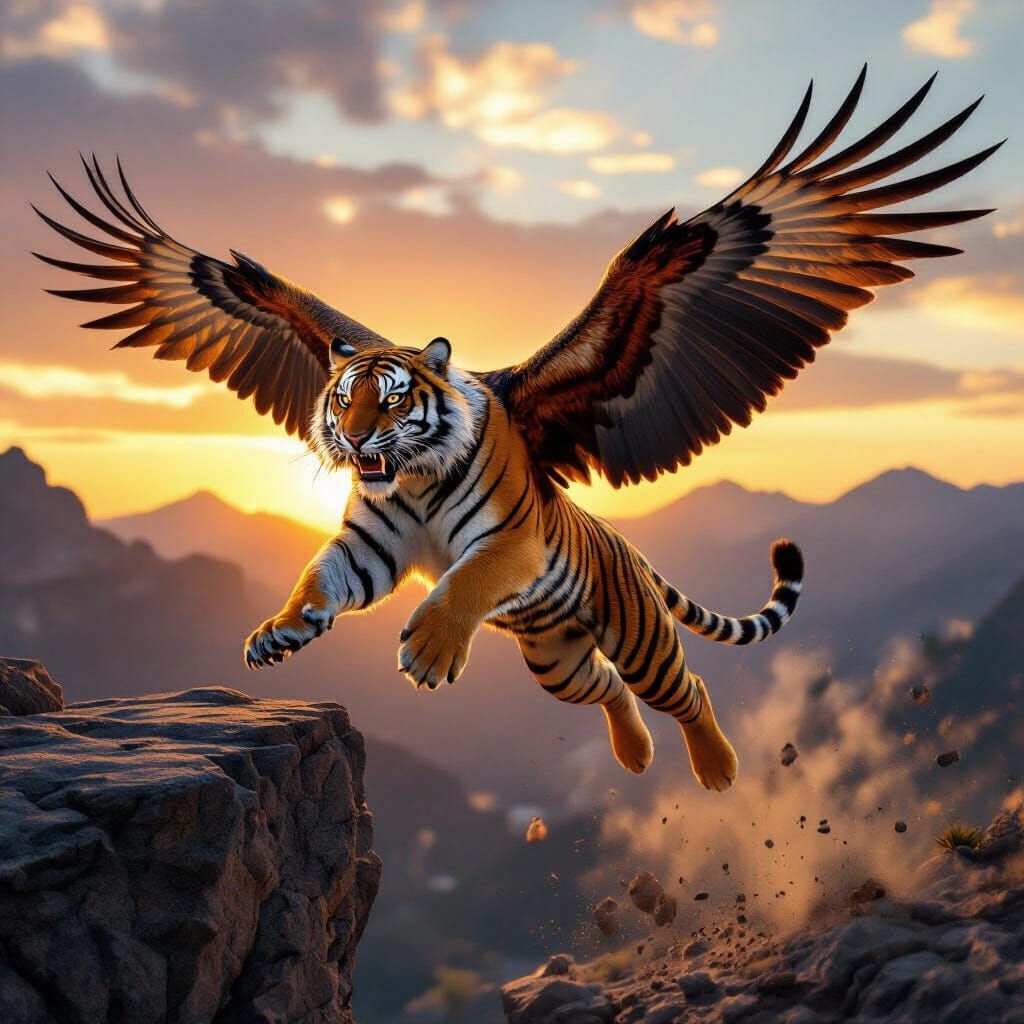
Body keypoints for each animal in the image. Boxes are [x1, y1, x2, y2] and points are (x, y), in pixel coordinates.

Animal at [35, 69, 996, 788]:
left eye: (390, 400)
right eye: (339, 397)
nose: (352, 440)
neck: (413, 476)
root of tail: (621, 545)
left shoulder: (510, 543)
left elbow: (465, 581)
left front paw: (429, 647)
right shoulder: (370, 543)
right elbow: (318, 575)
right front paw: (280, 630)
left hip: (634, 631)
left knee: (684, 685)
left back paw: (717, 767)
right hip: (557, 657)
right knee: (609, 690)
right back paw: (635, 755)